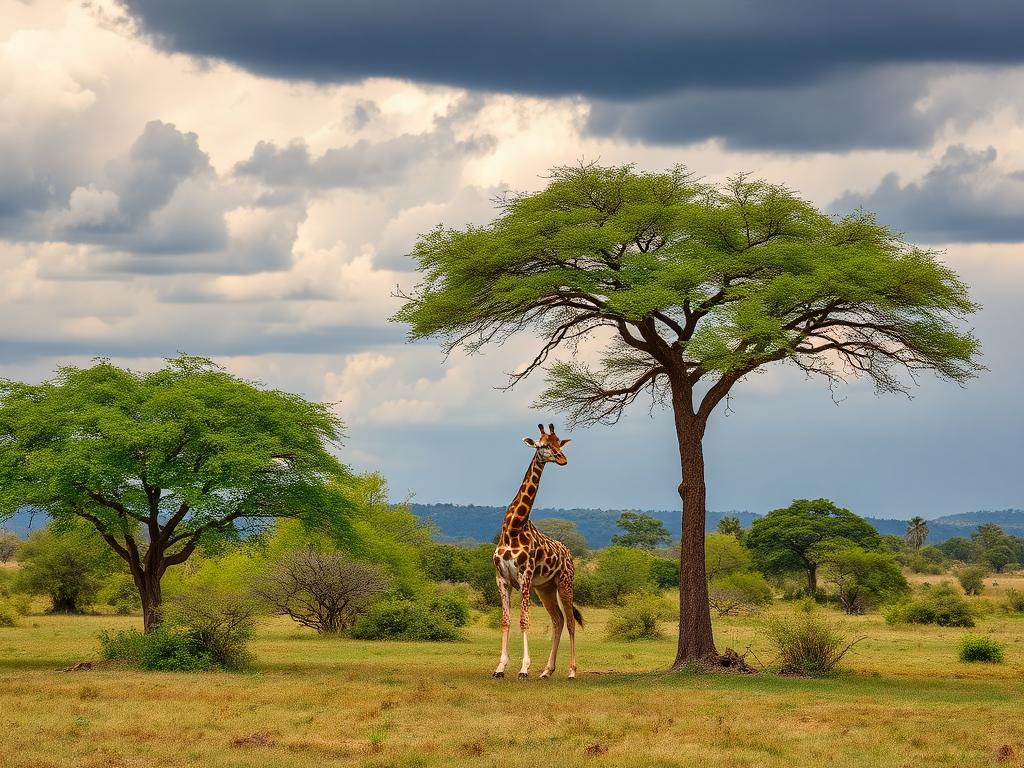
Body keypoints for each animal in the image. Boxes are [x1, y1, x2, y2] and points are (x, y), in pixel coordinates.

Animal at [492, 423, 583, 680]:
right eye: (543, 445)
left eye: (559, 443)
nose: (562, 459)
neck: (513, 528)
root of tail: (568, 553)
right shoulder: (502, 578)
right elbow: (506, 620)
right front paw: (500, 667)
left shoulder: (525, 576)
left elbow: (524, 620)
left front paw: (523, 668)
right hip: (546, 588)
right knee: (558, 620)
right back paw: (546, 670)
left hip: (565, 582)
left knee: (570, 621)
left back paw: (571, 671)